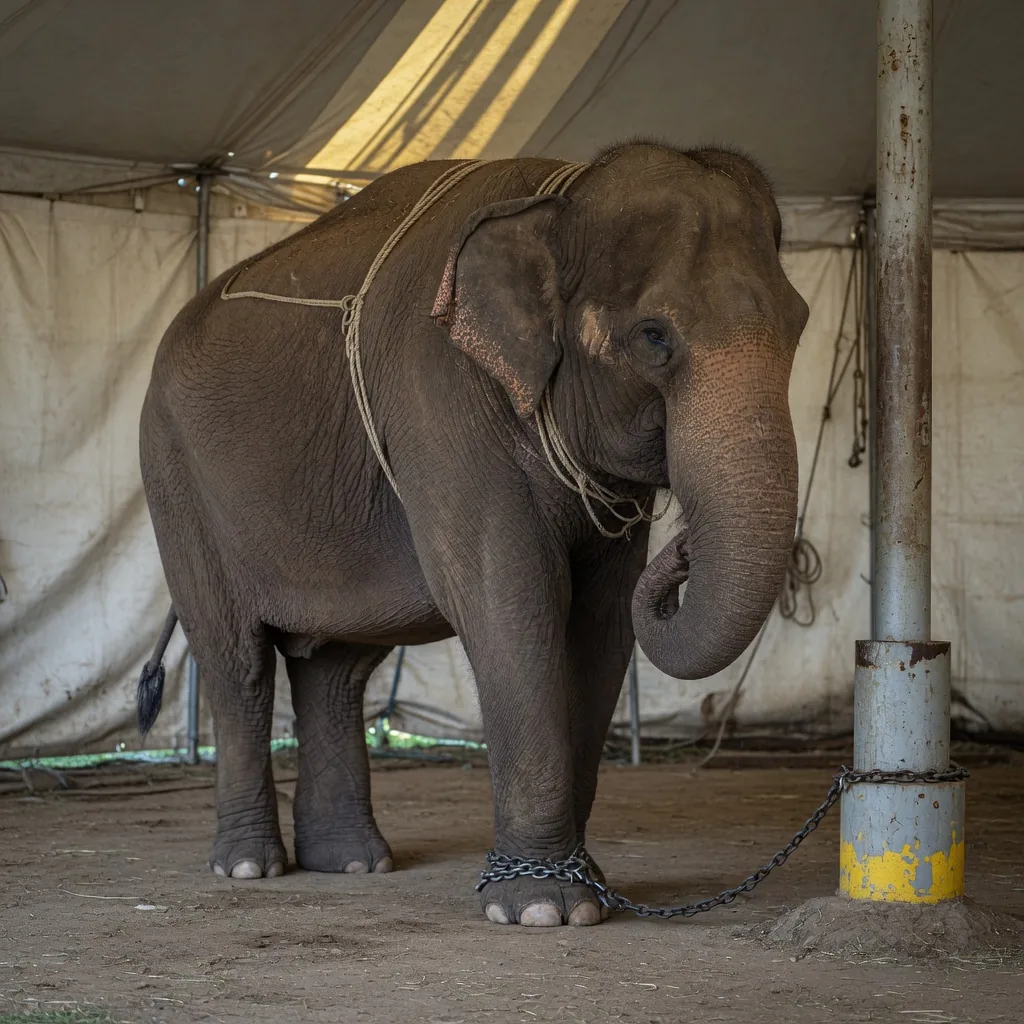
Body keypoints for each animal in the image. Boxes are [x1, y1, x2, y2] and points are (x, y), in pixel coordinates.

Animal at [136, 142, 808, 928]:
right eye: (654, 337)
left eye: (800, 324)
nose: (681, 548)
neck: (558, 196)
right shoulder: (438, 395)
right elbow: (511, 600)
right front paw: (542, 908)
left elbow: (602, 621)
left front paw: (589, 891)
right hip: (174, 477)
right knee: (235, 659)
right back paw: (250, 867)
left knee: (336, 669)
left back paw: (352, 863)